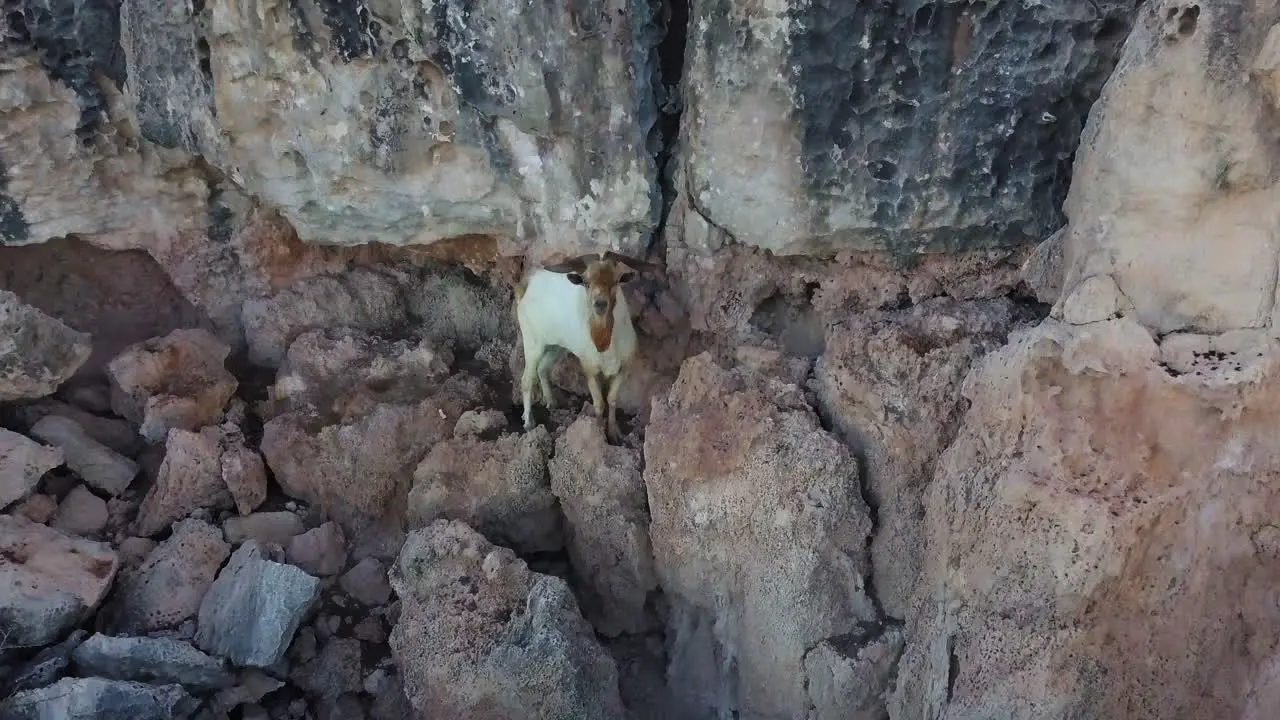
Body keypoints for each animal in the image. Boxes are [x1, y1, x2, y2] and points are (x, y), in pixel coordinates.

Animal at [514, 252, 660, 443]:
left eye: (615, 281)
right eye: (586, 282)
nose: (600, 303)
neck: (605, 345)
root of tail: (525, 289)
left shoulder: (623, 368)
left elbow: (612, 399)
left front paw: (614, 432)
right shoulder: (589, 368)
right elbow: (598, 402)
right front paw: (597, 432)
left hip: (556, 345)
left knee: (543, 369)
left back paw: (551, 402)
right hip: (532, 342)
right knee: (526, 379)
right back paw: (528, 422)